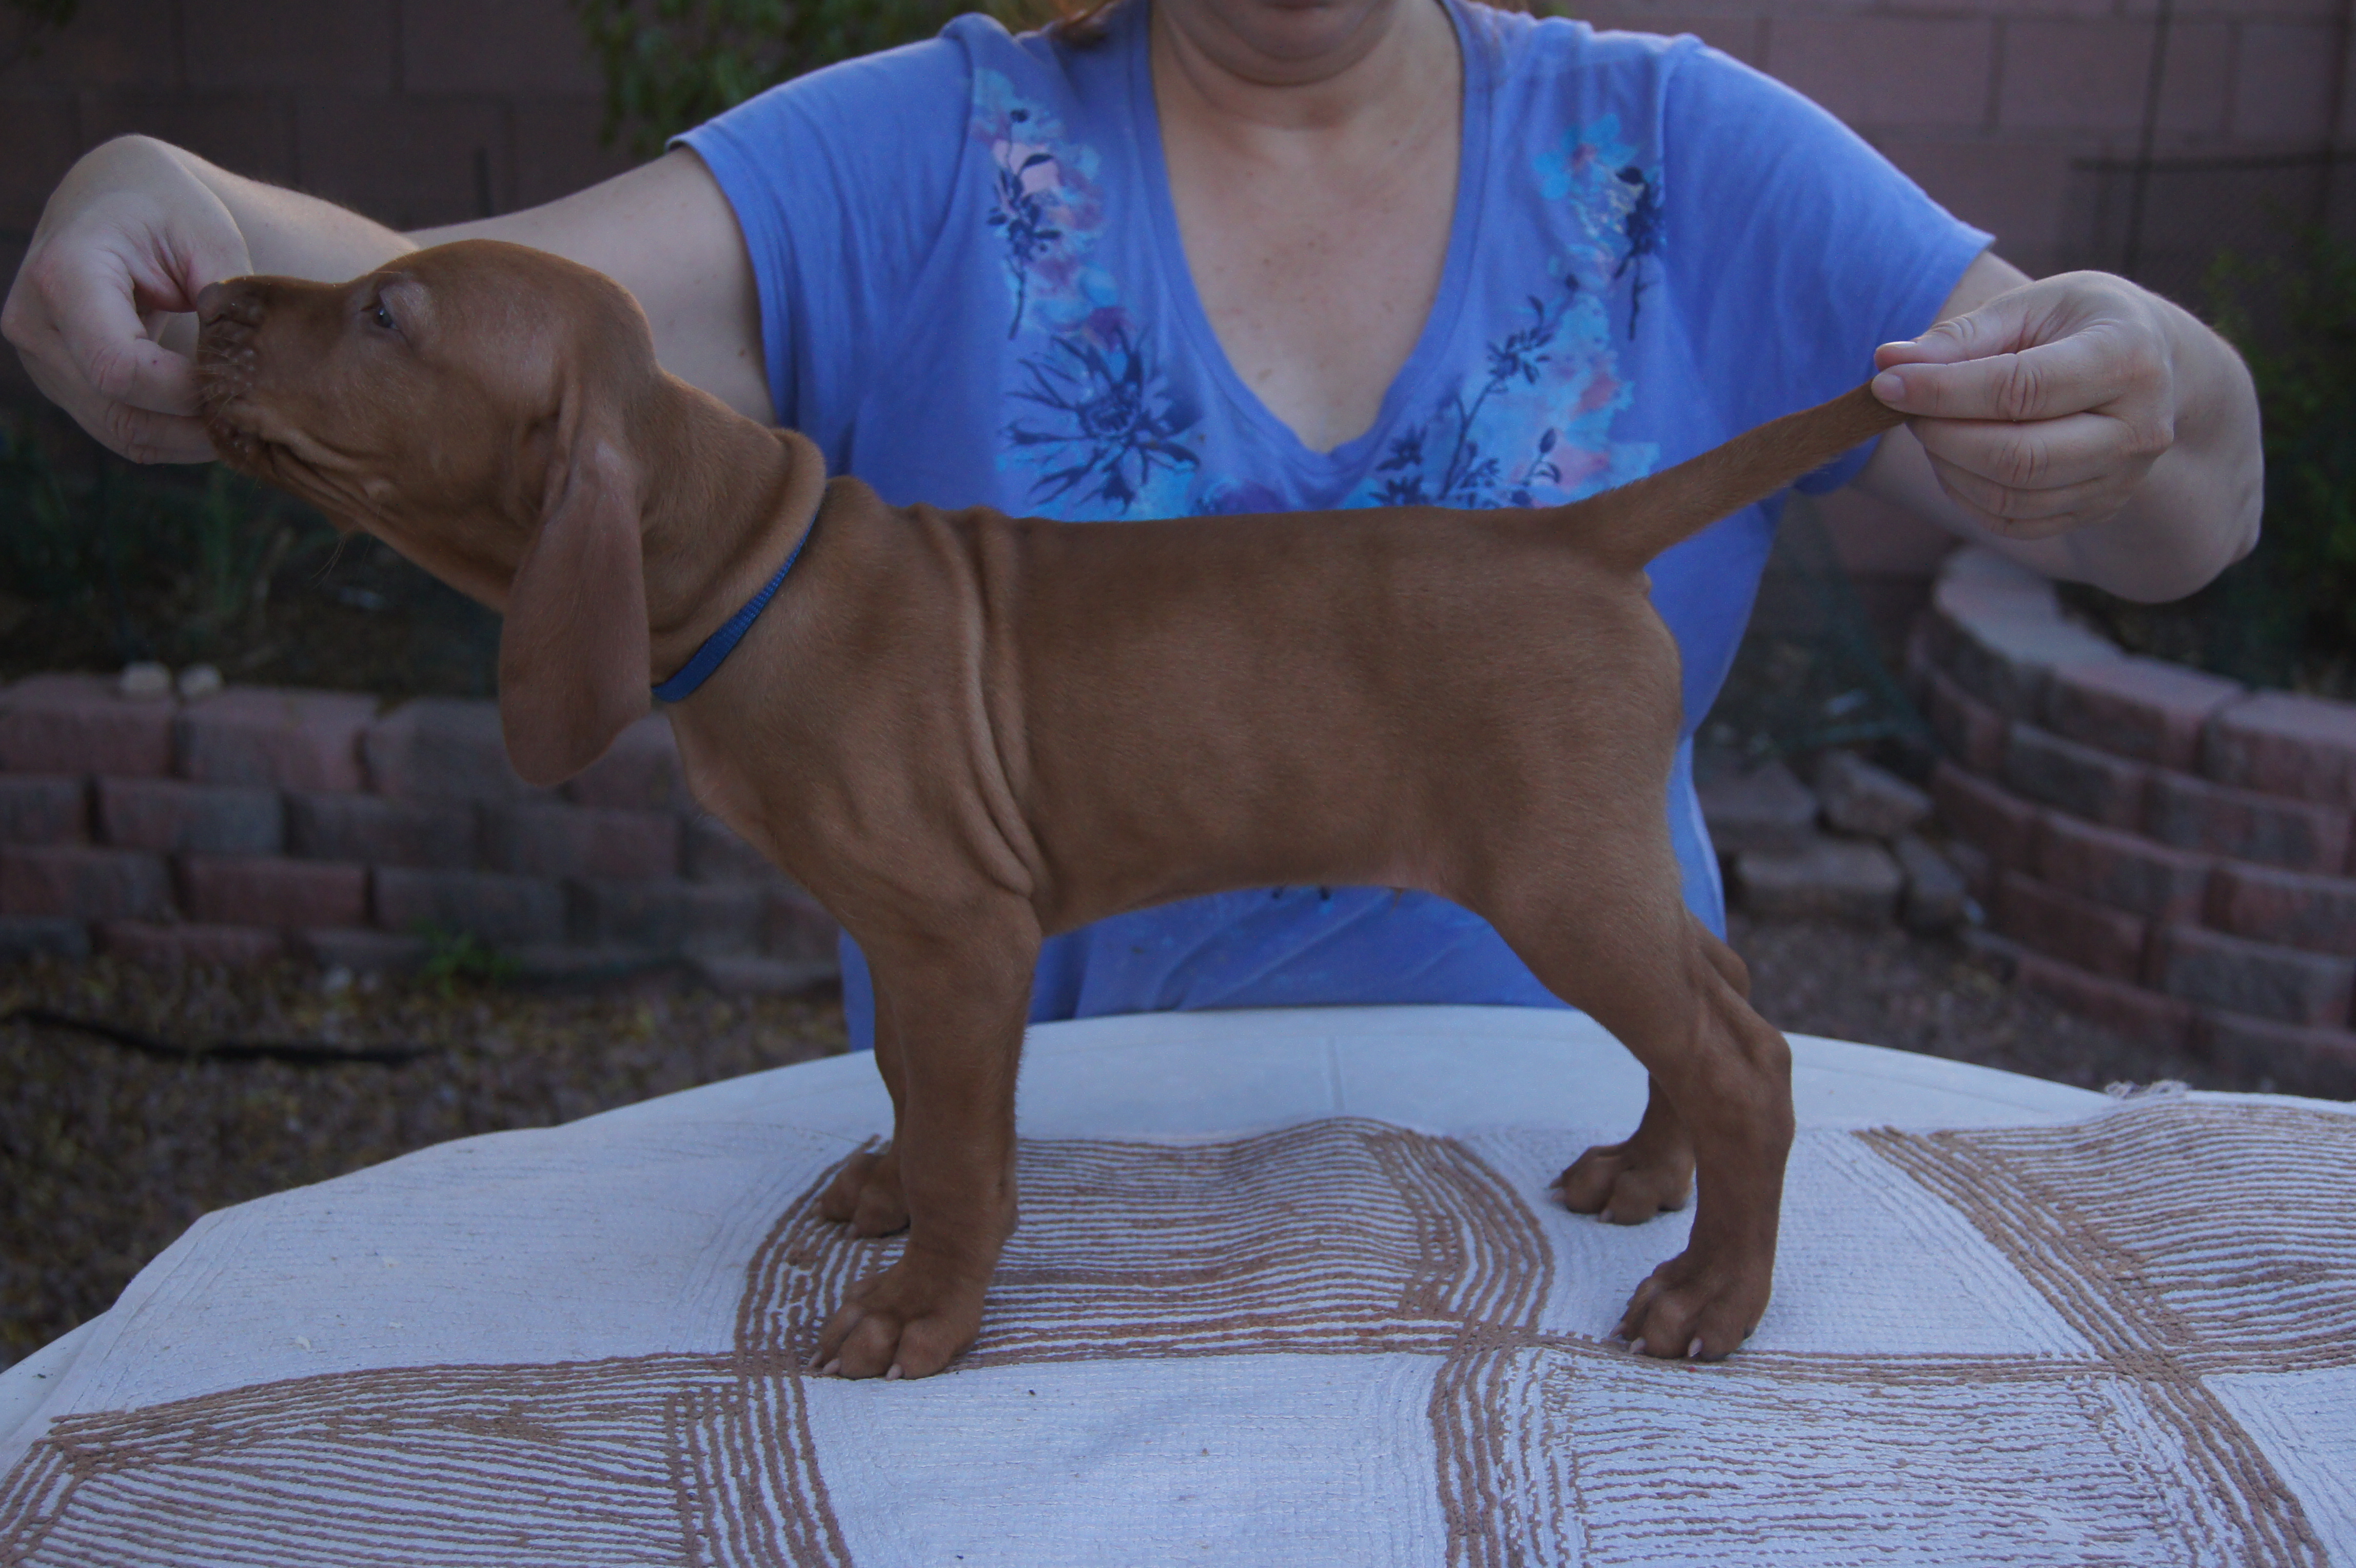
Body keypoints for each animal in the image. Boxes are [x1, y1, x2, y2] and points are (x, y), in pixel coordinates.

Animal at [196, 238, 1905, 1381]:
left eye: (384, 314)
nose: (200, 305)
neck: (749, 561)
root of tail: (1577, 535)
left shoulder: (963, 933)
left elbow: (970, 1149)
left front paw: (923, 1310)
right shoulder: (907, 933)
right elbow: (912, 1087)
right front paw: (890, 1191)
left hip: (1558, 876)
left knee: (1746, 1053)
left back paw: (1713, 1296)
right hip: (1598, 862)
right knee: (1715, 995)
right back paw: (1649, 1174)